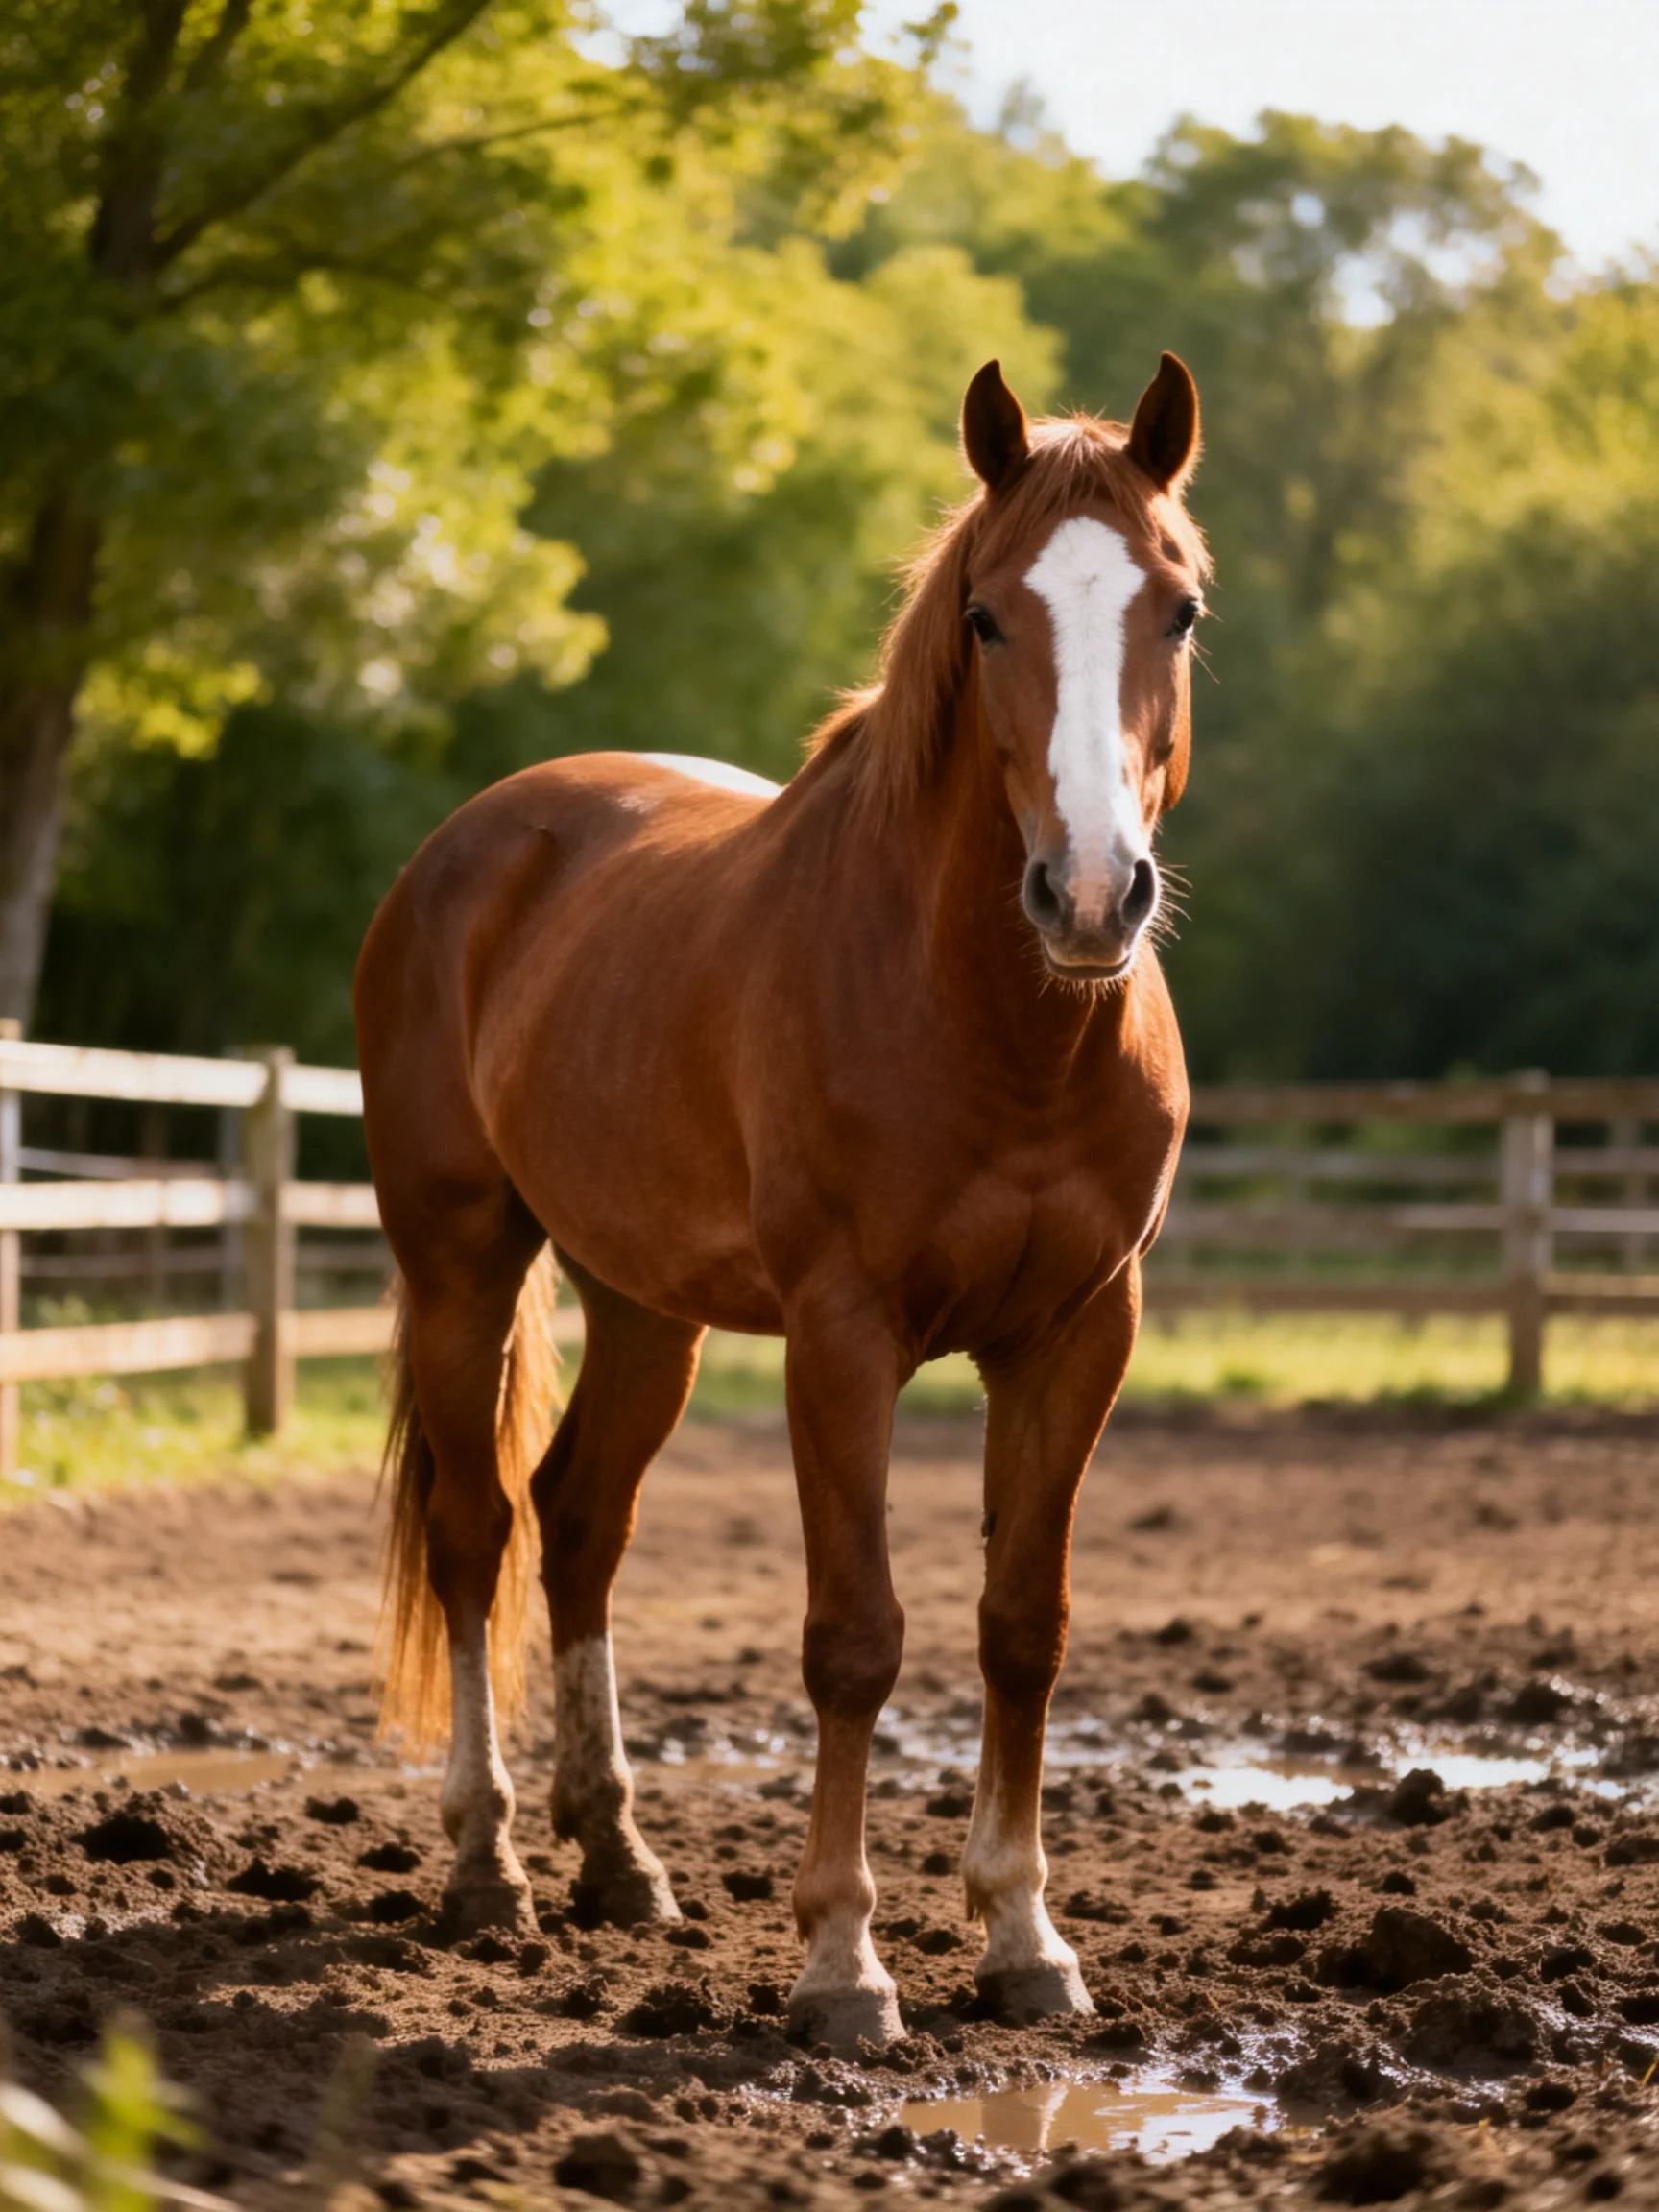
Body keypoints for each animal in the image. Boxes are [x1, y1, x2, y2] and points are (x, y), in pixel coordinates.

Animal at [354, 352, 1209, 2050]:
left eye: (1181, 609)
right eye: (986, 617)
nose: (1091, 895)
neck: (996, 1029)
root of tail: (468, 849)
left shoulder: (1081, 1334)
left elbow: (1023, 1627)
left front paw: (1025, 1941)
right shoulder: (843, 1337)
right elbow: (855, 1638)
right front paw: (842, 1966)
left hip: (642, 1308)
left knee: (580, 1524)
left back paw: (619, 1860)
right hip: (464, 1261)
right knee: (479, 1533)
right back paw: (489, 1869)